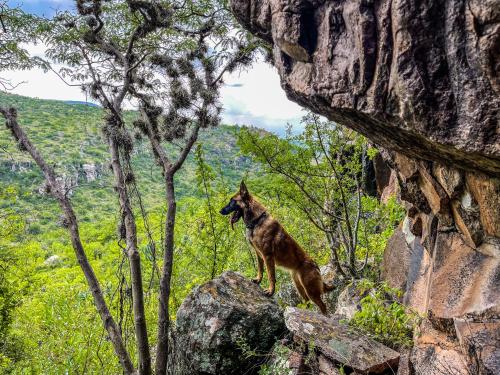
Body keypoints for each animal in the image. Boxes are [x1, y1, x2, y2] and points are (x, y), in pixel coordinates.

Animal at [221, 181, 334, 314]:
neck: (257, 221)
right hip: (299, 287)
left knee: (323, 306)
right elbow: (260, 269)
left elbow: (271, 276)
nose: (220, 211)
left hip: (310, 289)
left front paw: (270, 291)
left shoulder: (267, 256)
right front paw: (258, 280)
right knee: (307, 302)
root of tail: (316, 267)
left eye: (232, 201)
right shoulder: (259, 254)